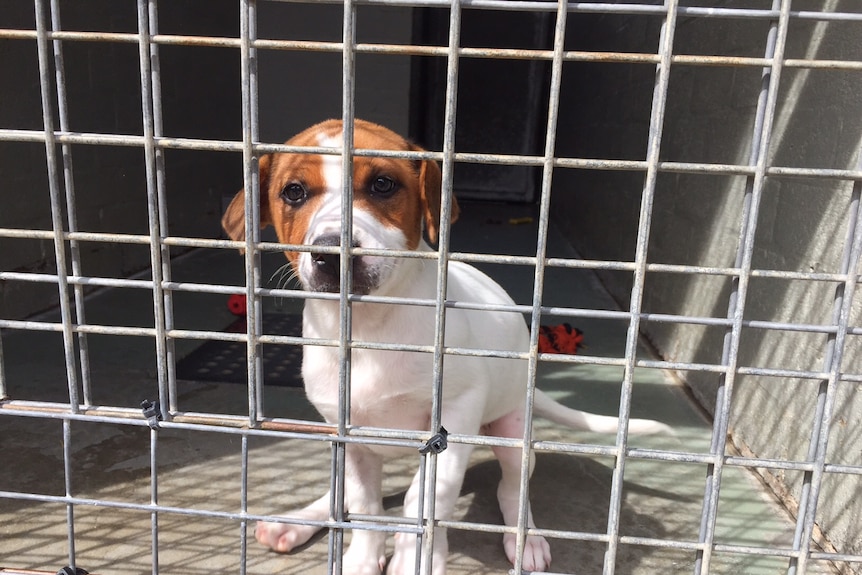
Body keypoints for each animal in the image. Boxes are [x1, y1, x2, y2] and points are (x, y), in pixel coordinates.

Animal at [221, 119, 668, 572]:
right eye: (294, 192)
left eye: (383, 184)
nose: (332, 255)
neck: (369, 325)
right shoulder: (348, 433)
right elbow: (364, 505)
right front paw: (363, 558)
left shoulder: (457, 412)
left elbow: (428, 496)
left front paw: (415, 557)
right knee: (341, 494)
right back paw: (294, 523)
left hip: (512, 430)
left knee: (513, 487)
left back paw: (524, 539)